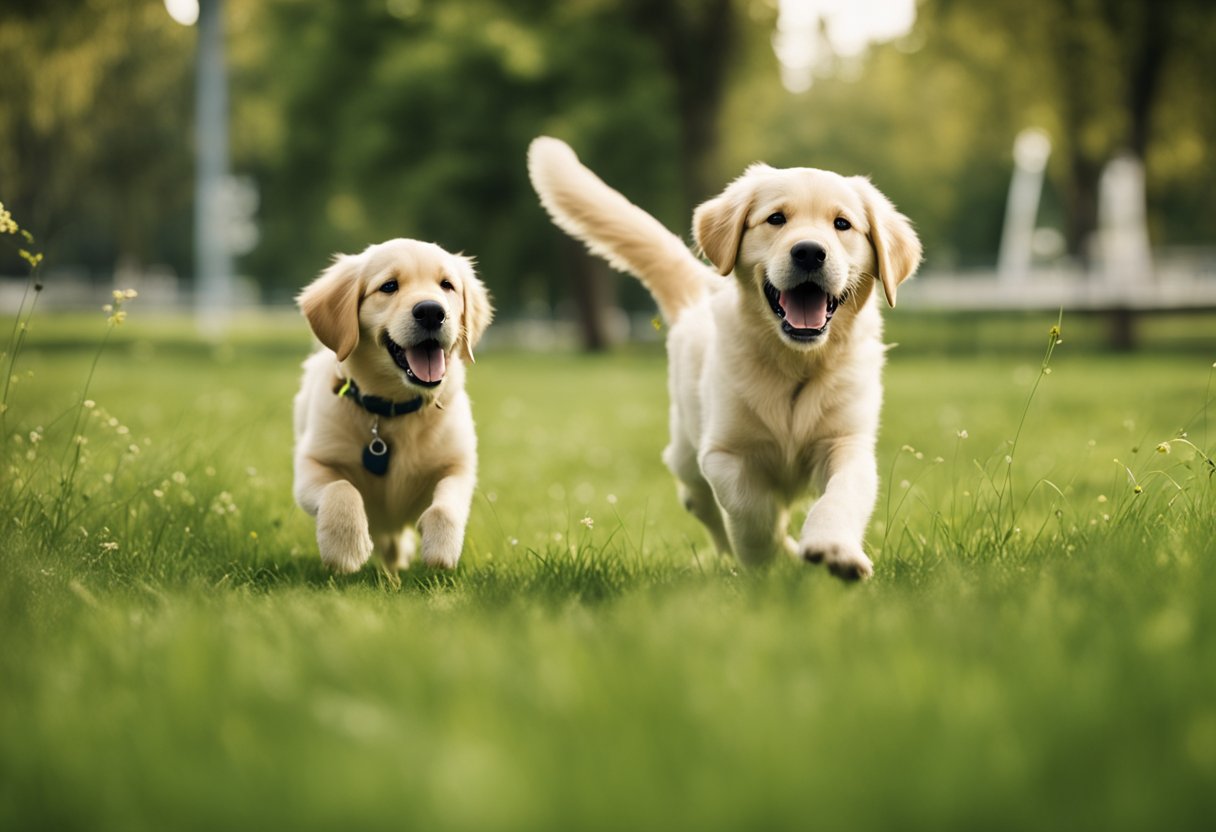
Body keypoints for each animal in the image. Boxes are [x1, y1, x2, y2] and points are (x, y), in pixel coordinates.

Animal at [291, 237, 491, 569]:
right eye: (389, 286)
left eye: (447, 285)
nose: (432, 311)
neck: (396, 406)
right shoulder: (312, 464)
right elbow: (340, 489)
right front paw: (346, 548)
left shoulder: (459, 465)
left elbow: (445, 506)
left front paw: (441, 550)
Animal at [527, 136, 914, 578]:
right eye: (776, 219)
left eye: (843, 224)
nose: (809, 252)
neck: (795, 363)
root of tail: (702, 288)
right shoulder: (723, 453)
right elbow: (752, 512)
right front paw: (773, 558)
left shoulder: (846, 442)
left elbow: (842, 495)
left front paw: (833, 549)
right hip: (685, 447)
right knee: (699, 498)